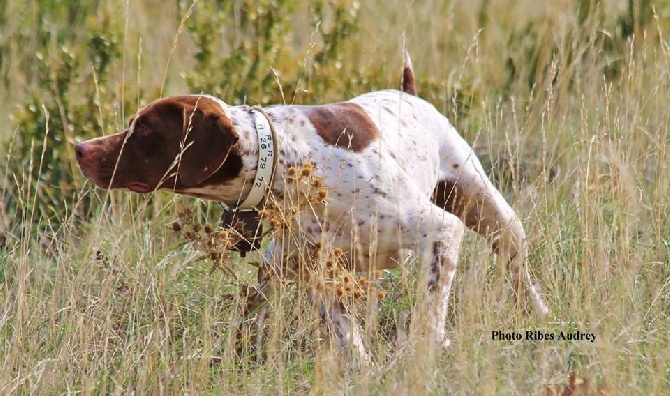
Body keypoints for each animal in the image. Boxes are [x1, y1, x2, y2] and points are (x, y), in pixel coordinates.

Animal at [77, 54, 552, 364]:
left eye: (144, 130)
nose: (81, 148)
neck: (286, 163)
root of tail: (409, 92)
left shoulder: (440, 231)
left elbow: (430, 312)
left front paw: (428, 349)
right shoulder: (317, 270)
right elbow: (348, 335)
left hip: (490, 212)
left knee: (518, 269)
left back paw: (542, 316)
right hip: (275, 268)